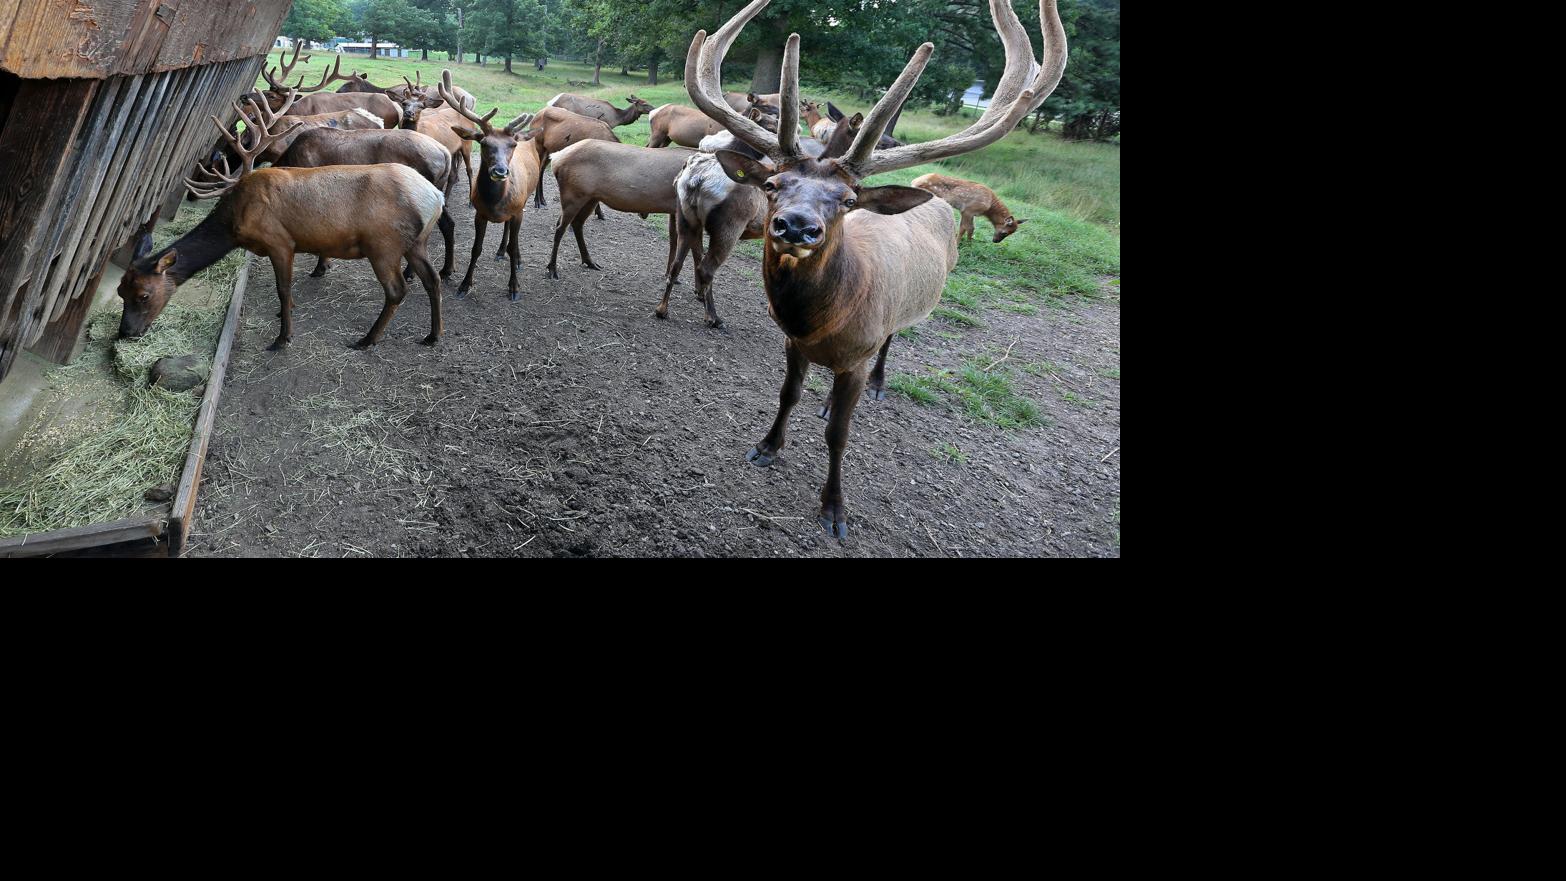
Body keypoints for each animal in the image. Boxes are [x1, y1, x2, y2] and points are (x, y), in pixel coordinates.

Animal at [120, 94, 447, 351]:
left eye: (143, 295)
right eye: (121, 291)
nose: (125, 333)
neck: (234, 222)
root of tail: (435, 196)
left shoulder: (279, 241)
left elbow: (284, 289)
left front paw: (282, 338)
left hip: (383, 246)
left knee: (397, 291)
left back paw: (367, 339)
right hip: (416, 243)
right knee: (432, 279)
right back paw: (433, 335)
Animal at [439, 72, 540, 302]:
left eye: (512, 145)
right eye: (484, 143)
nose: (500, 171)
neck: (495, 203)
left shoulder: (517, 211)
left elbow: (513, 244)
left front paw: (514, 287)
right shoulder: (480, 213)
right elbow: (476, 248)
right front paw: (464, 285)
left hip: (523, 202)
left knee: (513, 237)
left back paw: (516, 258)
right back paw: (500, 251)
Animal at [685, 0, 1066, 538]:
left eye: (847, 200)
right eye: (773, 185)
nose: (795, 226)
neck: (822, 325)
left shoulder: (857, 355)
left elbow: (839, 434)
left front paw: (833, 510)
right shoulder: (793, 343)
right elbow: (787, 396)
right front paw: (766, 447)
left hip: (910, 308)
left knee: (892, 340)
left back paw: (881, 386)